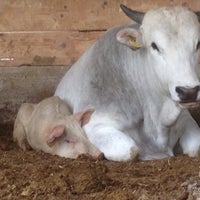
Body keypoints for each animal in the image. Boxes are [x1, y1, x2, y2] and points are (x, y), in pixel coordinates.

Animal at [55, 4, 200, 161]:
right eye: (154, 45)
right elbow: (131, 150)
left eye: (198, 44)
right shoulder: (94, 124)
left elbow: (195, 146)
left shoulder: (185, 116)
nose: (189, 91)